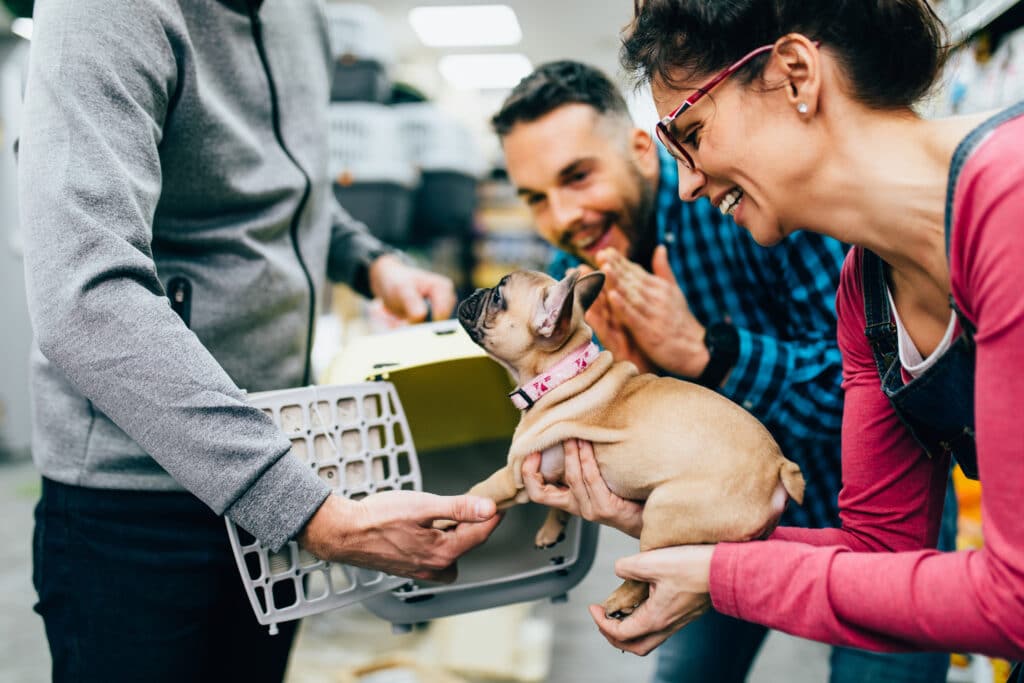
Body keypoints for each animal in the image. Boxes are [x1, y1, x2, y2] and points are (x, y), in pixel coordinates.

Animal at [454, 270, 798, 618]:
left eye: (498, 298)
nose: (476, 291)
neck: (561, 374)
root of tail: (778, 468)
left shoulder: (514, 475)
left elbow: (478, 492)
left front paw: (449, 516)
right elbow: (558, 505)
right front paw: (550, 531)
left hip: (664, 514)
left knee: (646, 574)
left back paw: (620, 602)